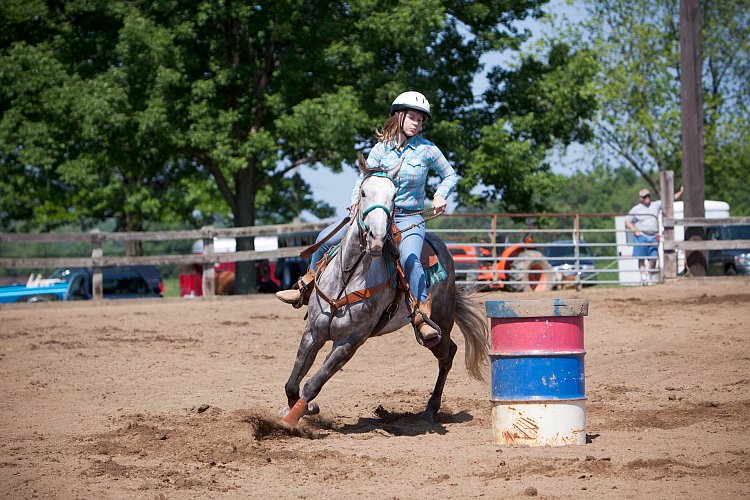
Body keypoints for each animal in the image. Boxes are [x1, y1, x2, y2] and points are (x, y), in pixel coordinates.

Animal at [280, 155, 490, 426]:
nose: (377, 238)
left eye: (393, 195)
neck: (347, 277)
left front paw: (292, 419)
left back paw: (431, 408)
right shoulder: (313, 332)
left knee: (447, 354)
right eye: (363, 192)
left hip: (441, 322)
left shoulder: (351, 341)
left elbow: (312, 384)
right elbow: (292, 384)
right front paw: (300, 410)